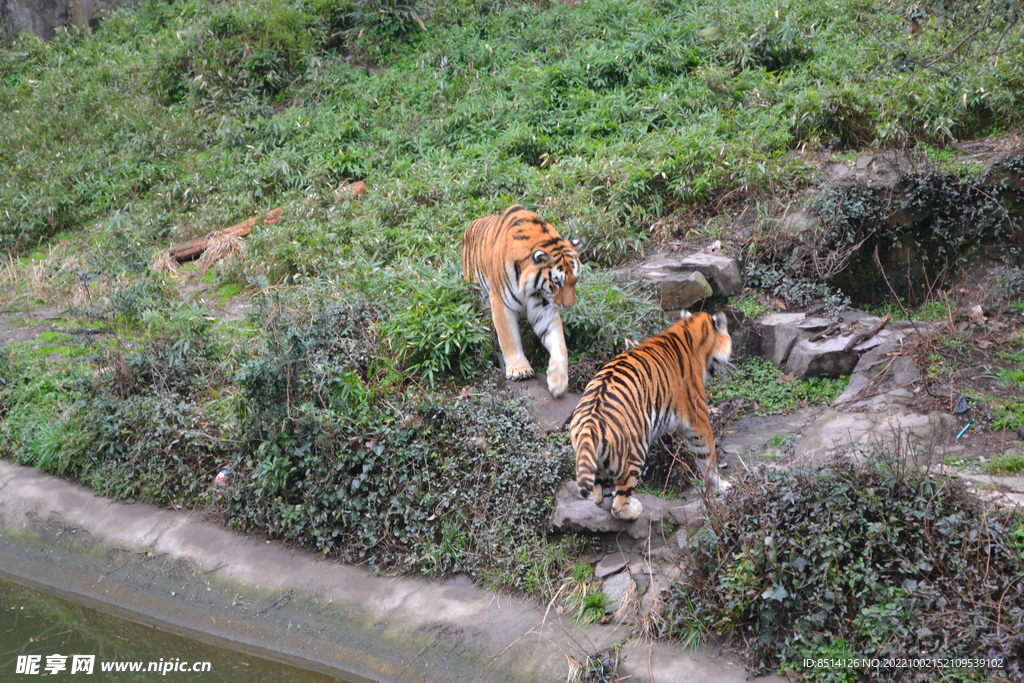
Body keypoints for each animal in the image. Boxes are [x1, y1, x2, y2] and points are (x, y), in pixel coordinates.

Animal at [460, 205, 581, 397]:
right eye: (557, 282)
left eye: (575, 279)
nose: (568, 305)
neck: (533, 290)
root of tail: (469, 226)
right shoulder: (501, 304)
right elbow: (508, 337)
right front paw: (519, 370)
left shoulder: (544, 310)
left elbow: (559, 343)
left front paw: (558, 381)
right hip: (477, 296)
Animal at [573, 313, 733, 520]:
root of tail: (589, 423)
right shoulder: (698, 421)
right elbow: (707, 457)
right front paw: (722, 486)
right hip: (635, 453)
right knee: (618, 504)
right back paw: (635, 509)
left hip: (598, 463)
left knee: (601, 499)